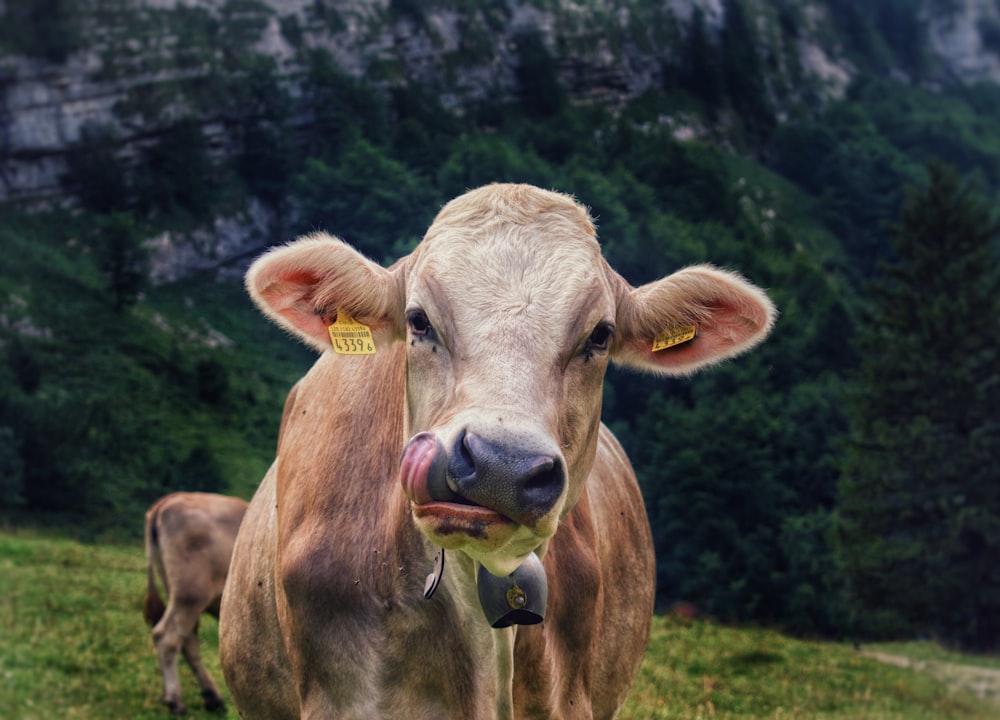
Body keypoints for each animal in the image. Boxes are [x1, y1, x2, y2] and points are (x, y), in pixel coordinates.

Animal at [143, 492, 248, 712]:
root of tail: (169, 500)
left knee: (188, 641)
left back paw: (212, 696)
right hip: (190, 595)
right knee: (167, 636)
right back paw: (175, 700)